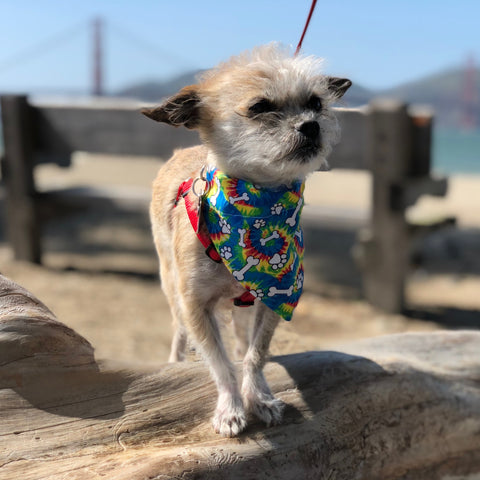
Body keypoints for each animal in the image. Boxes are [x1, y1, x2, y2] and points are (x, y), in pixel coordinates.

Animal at [141, 43, 350, 436]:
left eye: (315, 103)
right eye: (260, 107)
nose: (311, 125)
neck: (257, 209)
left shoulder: (272, 300)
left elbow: (255, 354)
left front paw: (259, 398)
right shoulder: (195, 305)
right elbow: (220, 363)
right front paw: (230, 407)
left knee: (239, 338)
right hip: (169, 283)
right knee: (178, 330)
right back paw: (177, 360)